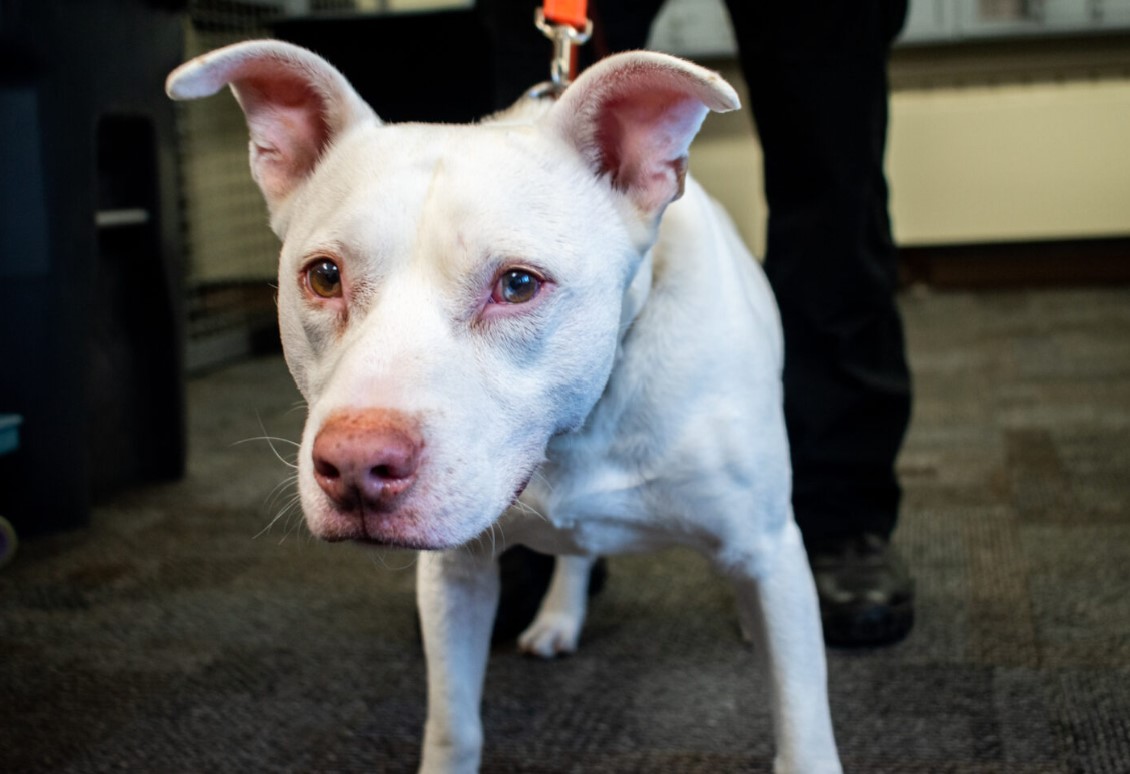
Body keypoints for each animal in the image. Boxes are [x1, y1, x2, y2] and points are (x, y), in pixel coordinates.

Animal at [164, 42, 840, 772]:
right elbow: (455, 724)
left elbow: (802, 725)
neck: (576, 430)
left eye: (517, 285)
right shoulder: (454, 576)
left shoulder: (768, 550)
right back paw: (559, 616)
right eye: (322, 276)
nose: (356, 467)